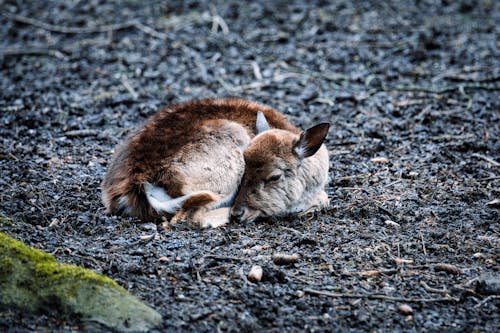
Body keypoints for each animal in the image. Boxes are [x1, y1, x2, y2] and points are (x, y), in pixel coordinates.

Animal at [101, 98, 330, 228]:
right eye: (246, 174)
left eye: (275, 177)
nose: (240, 212)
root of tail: (135, 186)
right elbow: (324, 198)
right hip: (228, 152)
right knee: (186, 217)